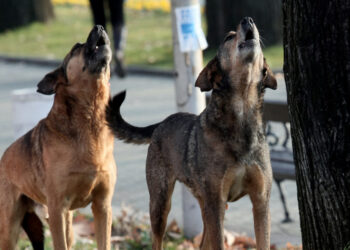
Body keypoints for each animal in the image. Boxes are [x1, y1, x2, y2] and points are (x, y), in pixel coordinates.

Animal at [0, 25, 117, 250]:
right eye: (76, 48)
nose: (99, 27)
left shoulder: (103, 206)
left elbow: (104, 243)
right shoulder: (56, 210)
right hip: (9, 227)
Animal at [106, 16, 276, 249]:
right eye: (228, 37)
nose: (247, 20)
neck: (242, 118)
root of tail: (161, 123)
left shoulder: (260, 201)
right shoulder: (216, 202)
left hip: (203, 206)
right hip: (161, 203)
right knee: (157, 239)